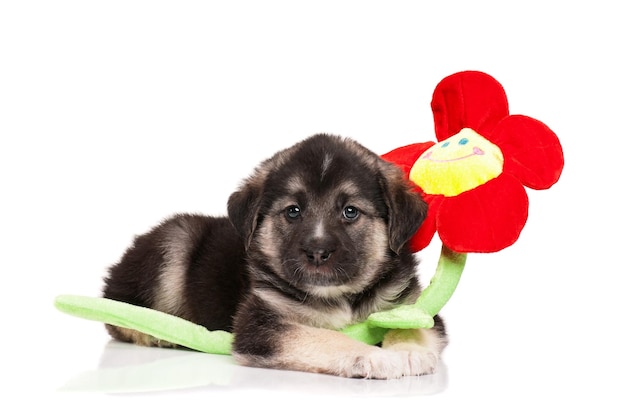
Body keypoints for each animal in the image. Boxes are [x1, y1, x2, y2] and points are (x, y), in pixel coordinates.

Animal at [102, 134, 444, 380]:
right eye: (293, 211)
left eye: (350, 212)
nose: (317, 252)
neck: (339, 297)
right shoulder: (261, 324)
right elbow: (323, 337)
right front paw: (375, 357)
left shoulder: (413, 305)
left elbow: (416, 327)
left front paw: (409, 352)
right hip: (175, 241)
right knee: (118, 312)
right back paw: (156, 334)